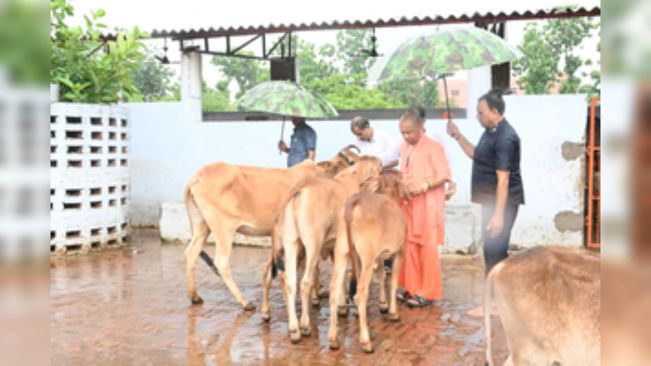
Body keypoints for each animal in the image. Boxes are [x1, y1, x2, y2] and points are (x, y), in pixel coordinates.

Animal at [262, 157, 384, 344]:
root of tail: (298, 191)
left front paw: (341, 304)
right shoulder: (345, 247)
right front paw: (345, 306)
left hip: (291, 244)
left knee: (287, 280)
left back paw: (292, 327)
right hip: (312, 244)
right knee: (304, 282)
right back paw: (304, 325)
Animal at [328, 170, 410, 354]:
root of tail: (354, 201)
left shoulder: (372, 257)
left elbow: (381, 276)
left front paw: (383, 304)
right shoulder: (398, 252)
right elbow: (392, 282)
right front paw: (393, 312)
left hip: (342, 252)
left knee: (334, 289)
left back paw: (333, 339)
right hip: (367, 256)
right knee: (361, 292)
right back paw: (366, 342)